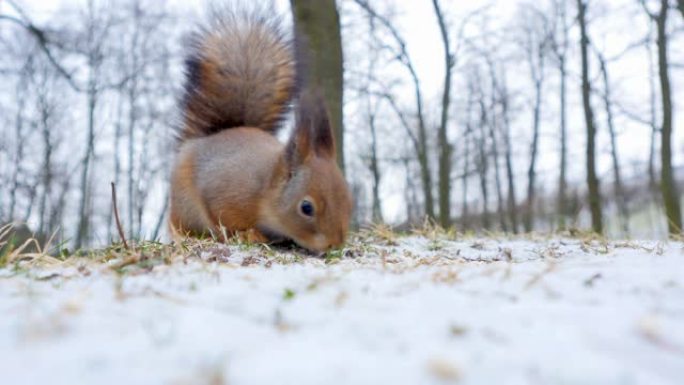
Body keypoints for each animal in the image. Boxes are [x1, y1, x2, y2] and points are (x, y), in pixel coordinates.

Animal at [170, 9, 352, 252]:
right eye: (306, 208)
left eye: (348, 199)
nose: (335, 244)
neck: (266, 188)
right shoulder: (227, 194)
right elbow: (224, 220)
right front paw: (248, 235)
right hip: (184, 205)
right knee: (178, 224)